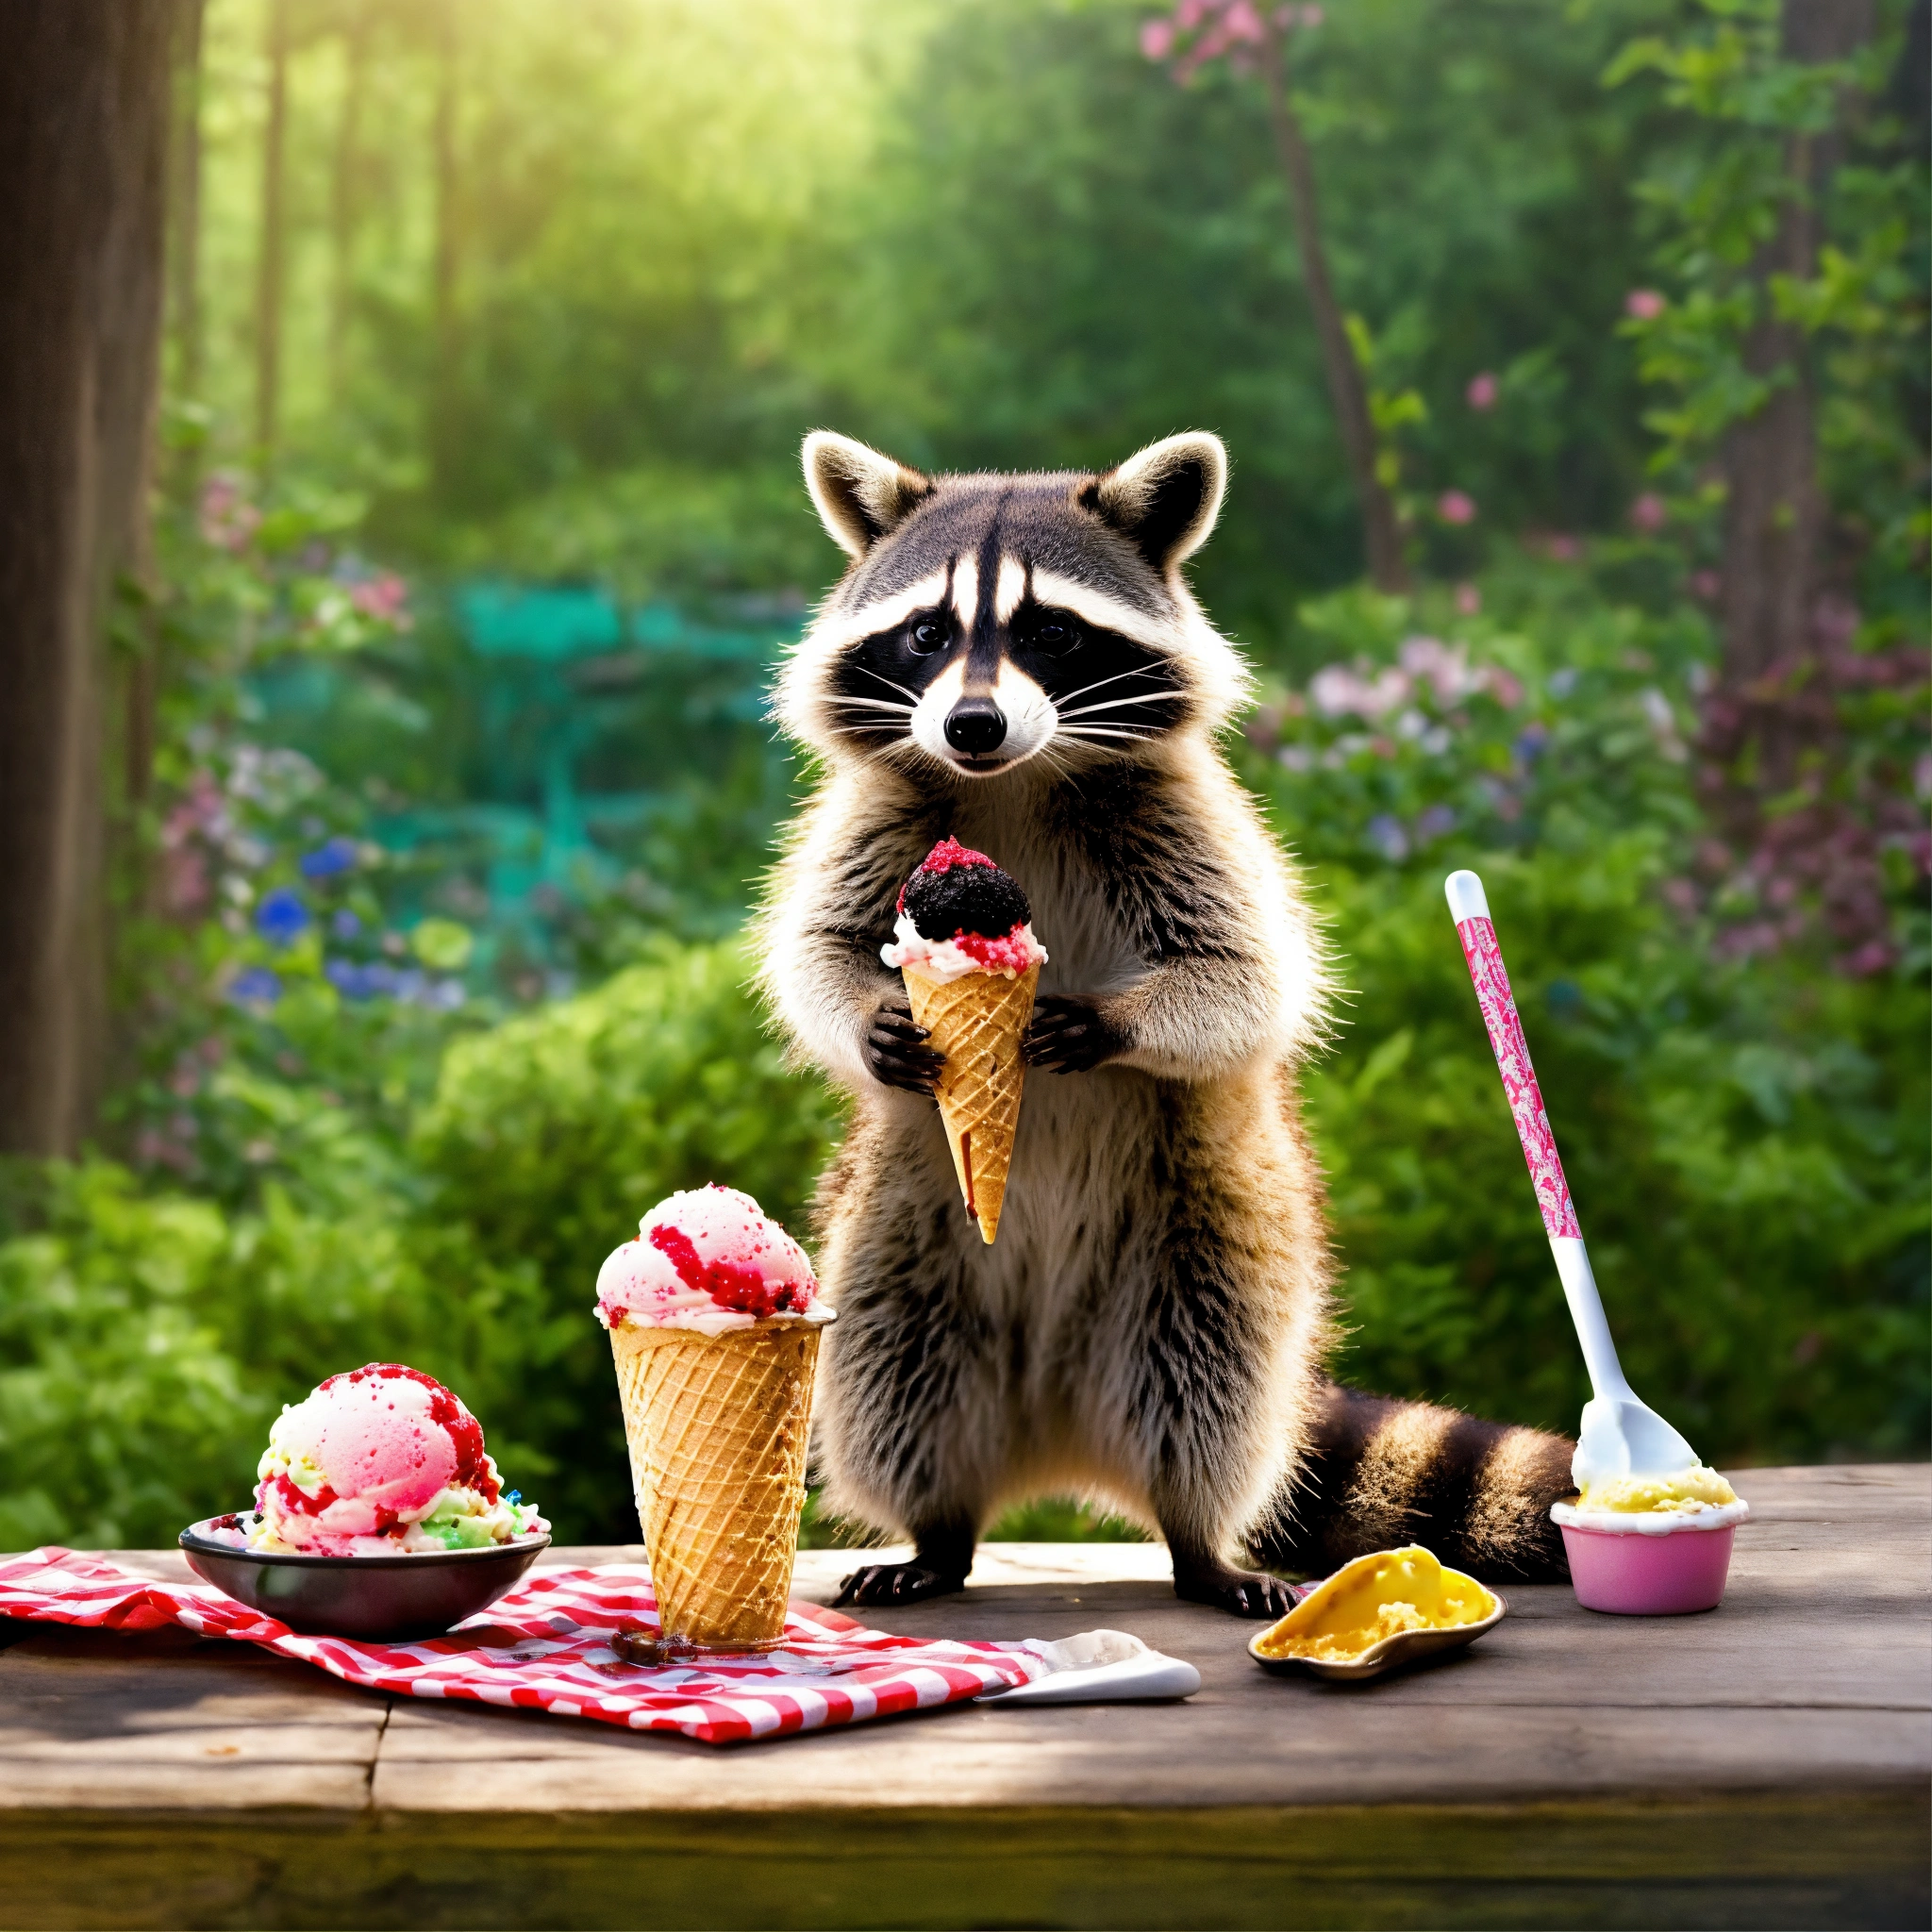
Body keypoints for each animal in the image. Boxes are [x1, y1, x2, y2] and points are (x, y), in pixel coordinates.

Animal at [755, 429, 1572, 1615]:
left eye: (1048, 630)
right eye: (927, 633)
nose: (969, 723)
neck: (1015, 778)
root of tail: (1053, 1433)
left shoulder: (1186, 821)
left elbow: (1246, 977)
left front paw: (1110, 1022)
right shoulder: (877, 819)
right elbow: (811, 951)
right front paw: (866, 1019)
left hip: (1201, 1231)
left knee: (1206, 1388)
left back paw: (1196, 1536)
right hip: (901, 1230)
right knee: (893, 1376)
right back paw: (936, 1532)